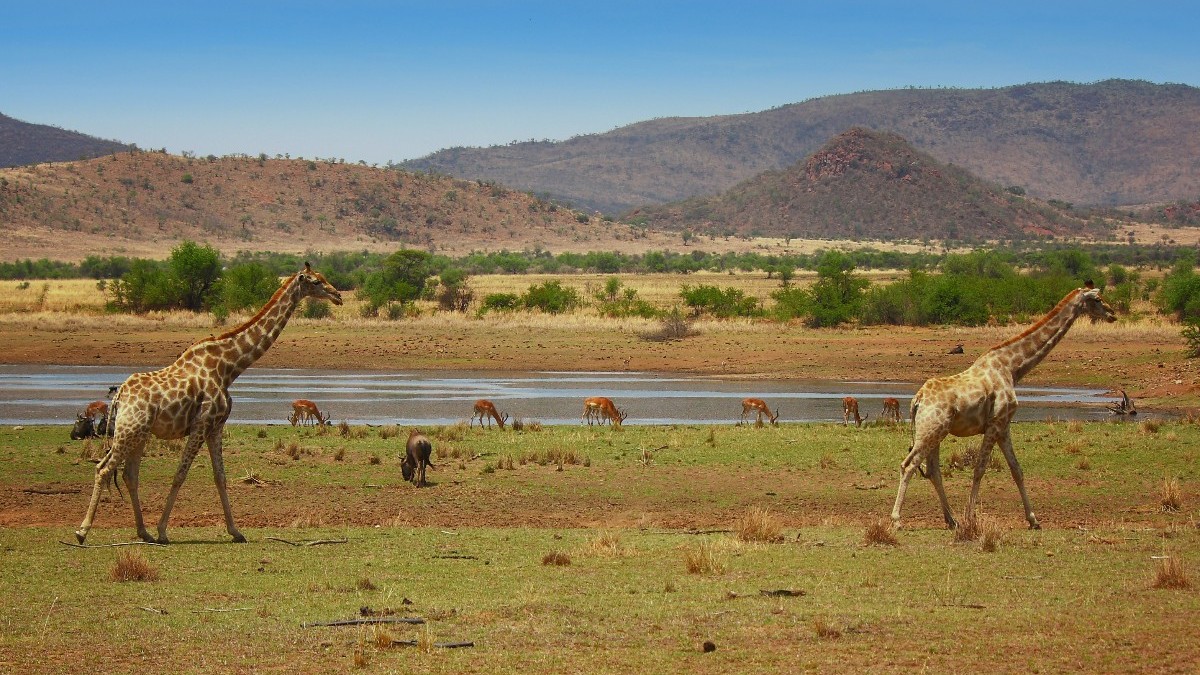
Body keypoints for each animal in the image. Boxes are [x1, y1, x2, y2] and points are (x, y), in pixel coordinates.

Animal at [73, 263, 343, 540]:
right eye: (316, 281)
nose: (338, 296)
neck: (228, 368)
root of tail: (120, 395)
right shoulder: (202, 423)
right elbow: (180, 474)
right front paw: (163, 530)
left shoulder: (217, 426)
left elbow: (220, 476)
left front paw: (235, 531)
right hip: (129, 430)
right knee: (103, 468)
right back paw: (83, 531)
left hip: (139, 433)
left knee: (129, 474)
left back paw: (143, 532)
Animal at [892, 281, 1113, 528]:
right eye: (1097, 299)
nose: (1112, 313)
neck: (1013, 368)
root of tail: (917, 400)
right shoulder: (995, 423)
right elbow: (979, 468)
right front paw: (971, 517)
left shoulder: (1004, 426)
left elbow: (1016, 469)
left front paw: (1033, 519)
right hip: (930, 431)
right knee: (909, 465)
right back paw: (898, 520)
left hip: (936, 432)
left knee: (932, 470)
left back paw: (951, 519)